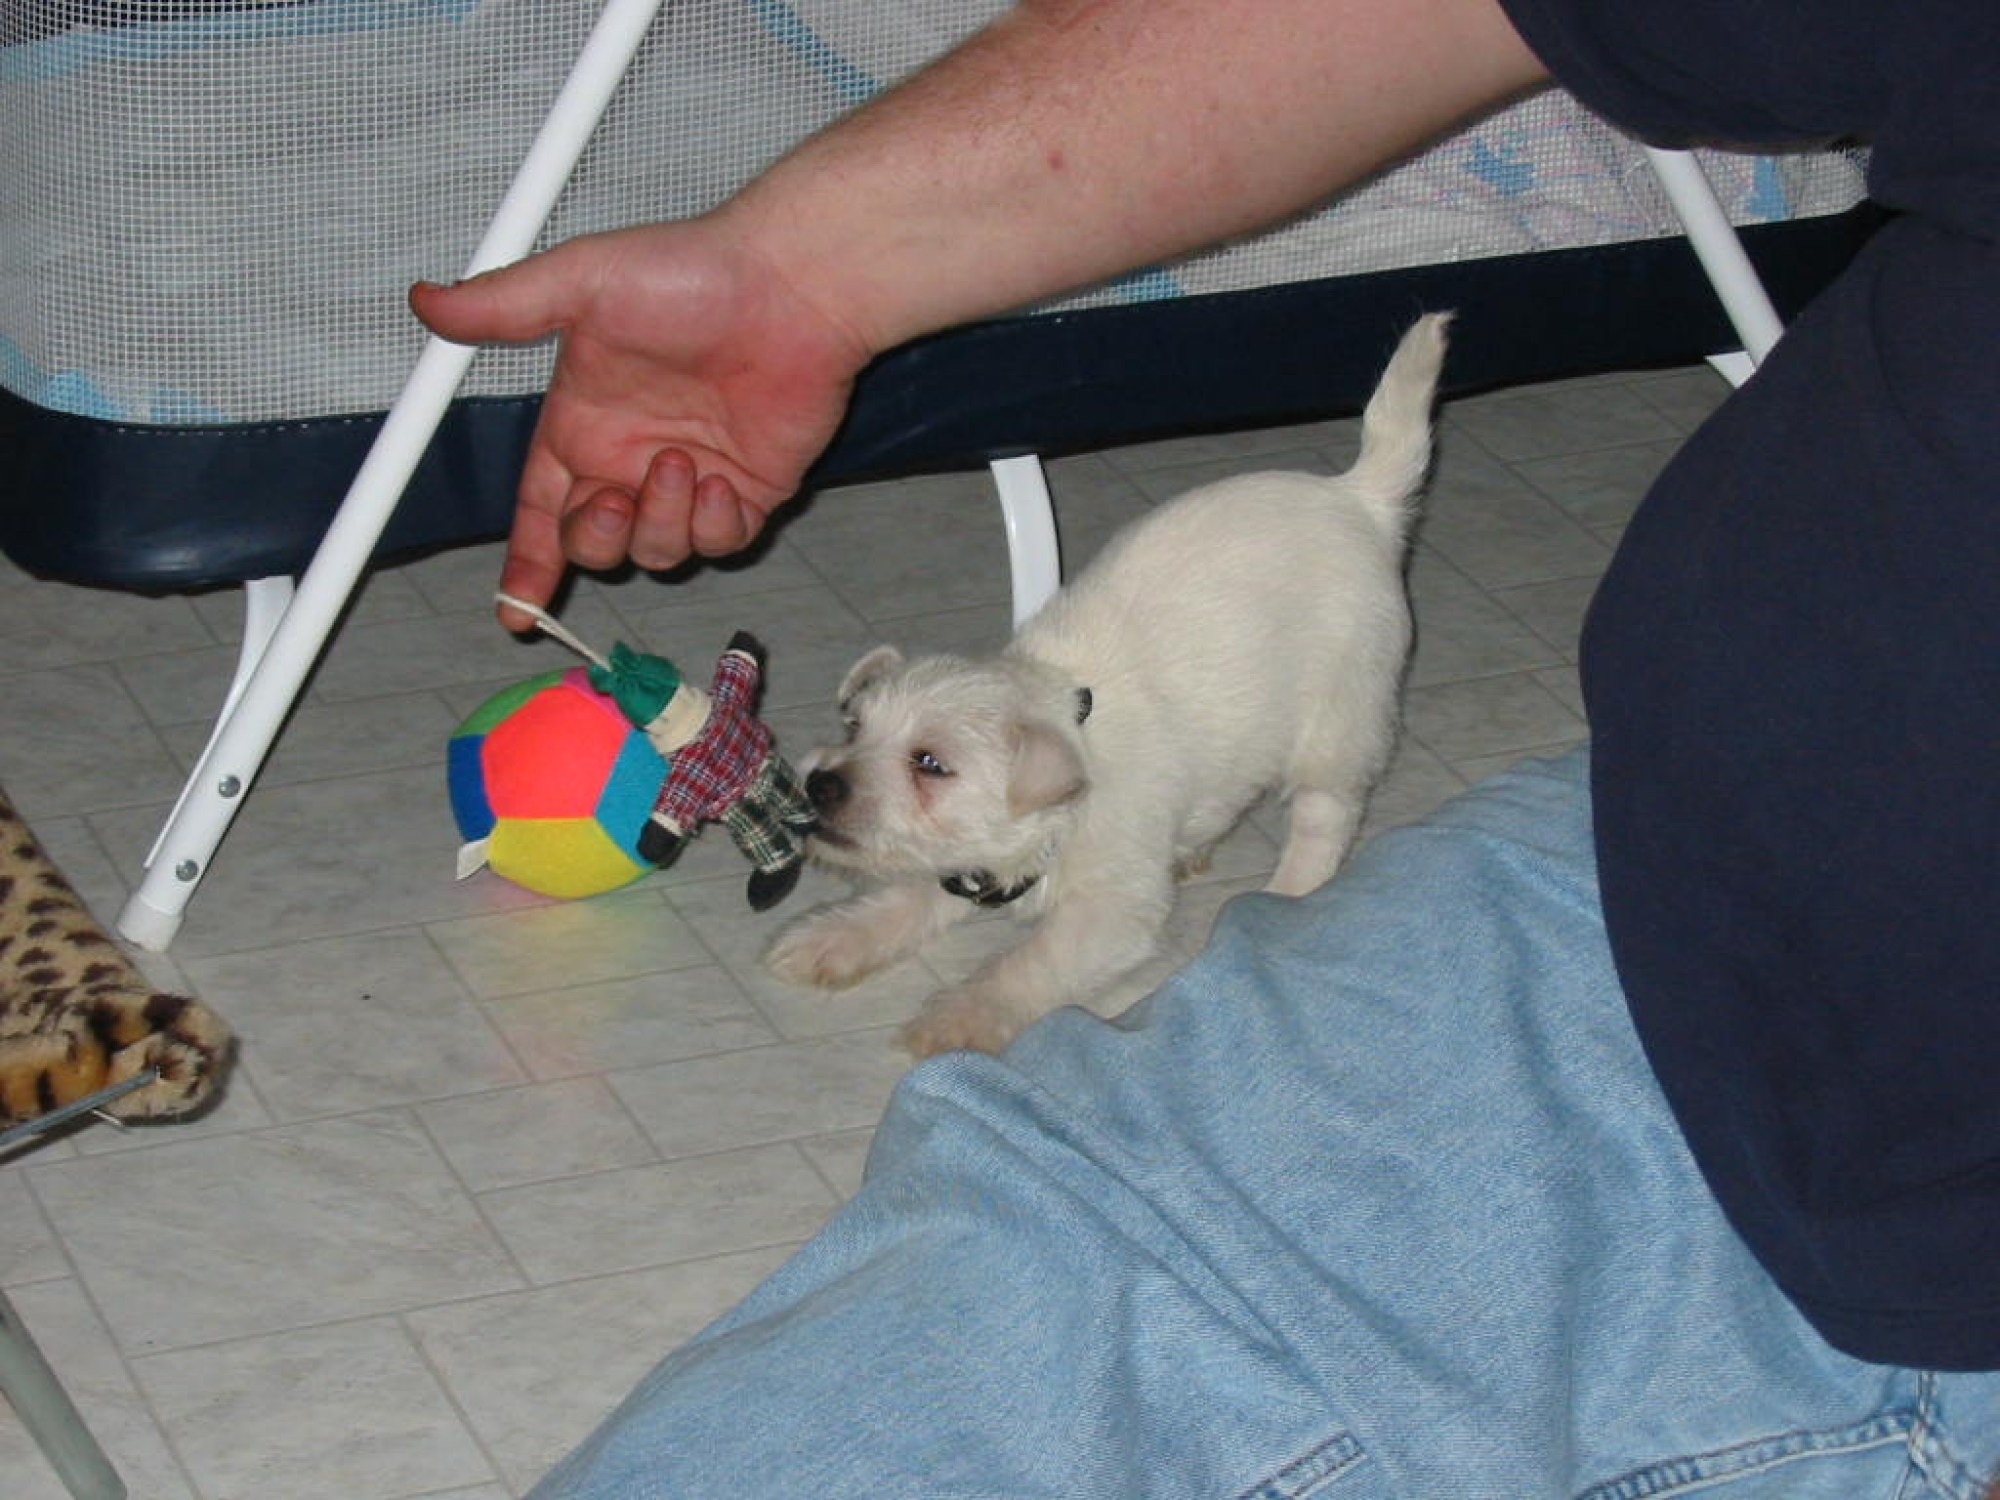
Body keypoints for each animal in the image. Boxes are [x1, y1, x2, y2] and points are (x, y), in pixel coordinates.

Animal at [765, 314, 1449, 1057]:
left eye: (930, 764)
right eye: (854, 726)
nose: (821, 783)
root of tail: (1358, 498)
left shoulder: (1109, 913)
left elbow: (1027, 964)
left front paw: (957, 1019)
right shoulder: (959, 862)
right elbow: (905, 895)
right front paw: (833, 937)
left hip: (1340, 718)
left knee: (1325, 817)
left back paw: (1290, 893)